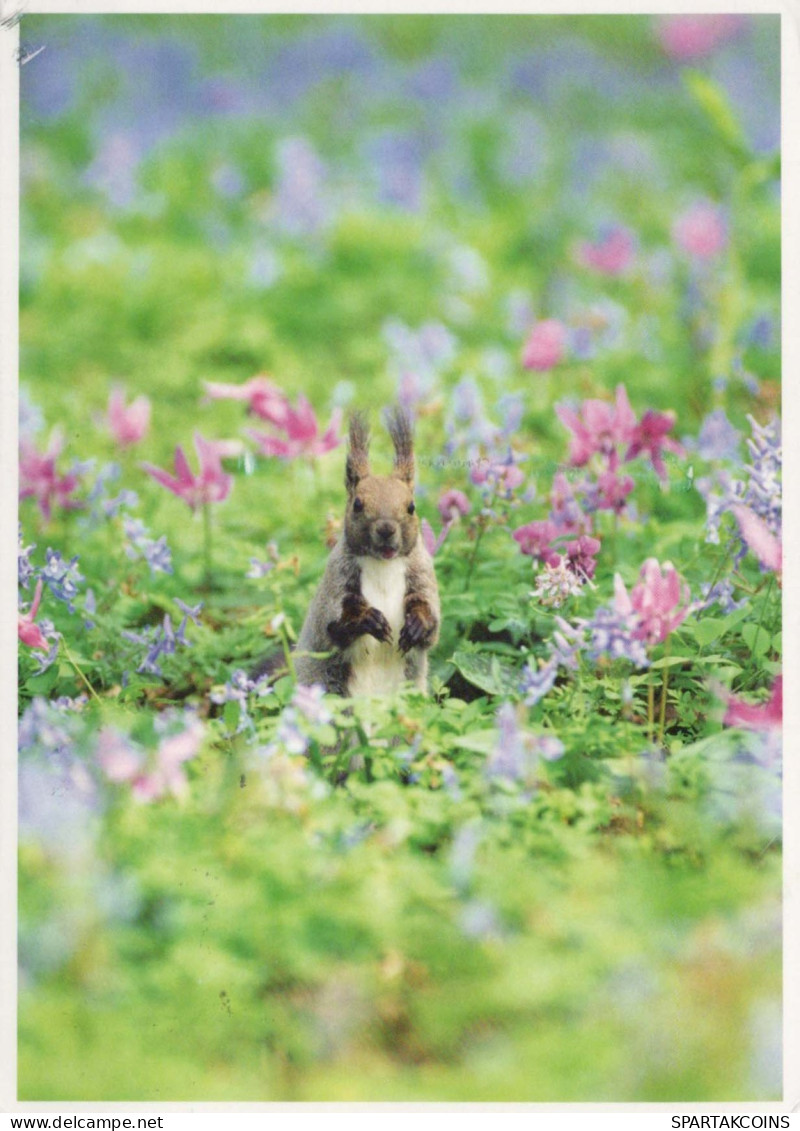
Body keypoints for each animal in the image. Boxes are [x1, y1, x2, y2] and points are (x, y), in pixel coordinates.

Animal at [291, 407, 443, 696]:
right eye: (357, 505)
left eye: (411, 507)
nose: (386, 529)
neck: (383, 564)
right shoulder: (336, 582)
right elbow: (334, 624)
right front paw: (369, 619)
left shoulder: (421, 573)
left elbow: (430, 617)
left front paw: (417, 625)